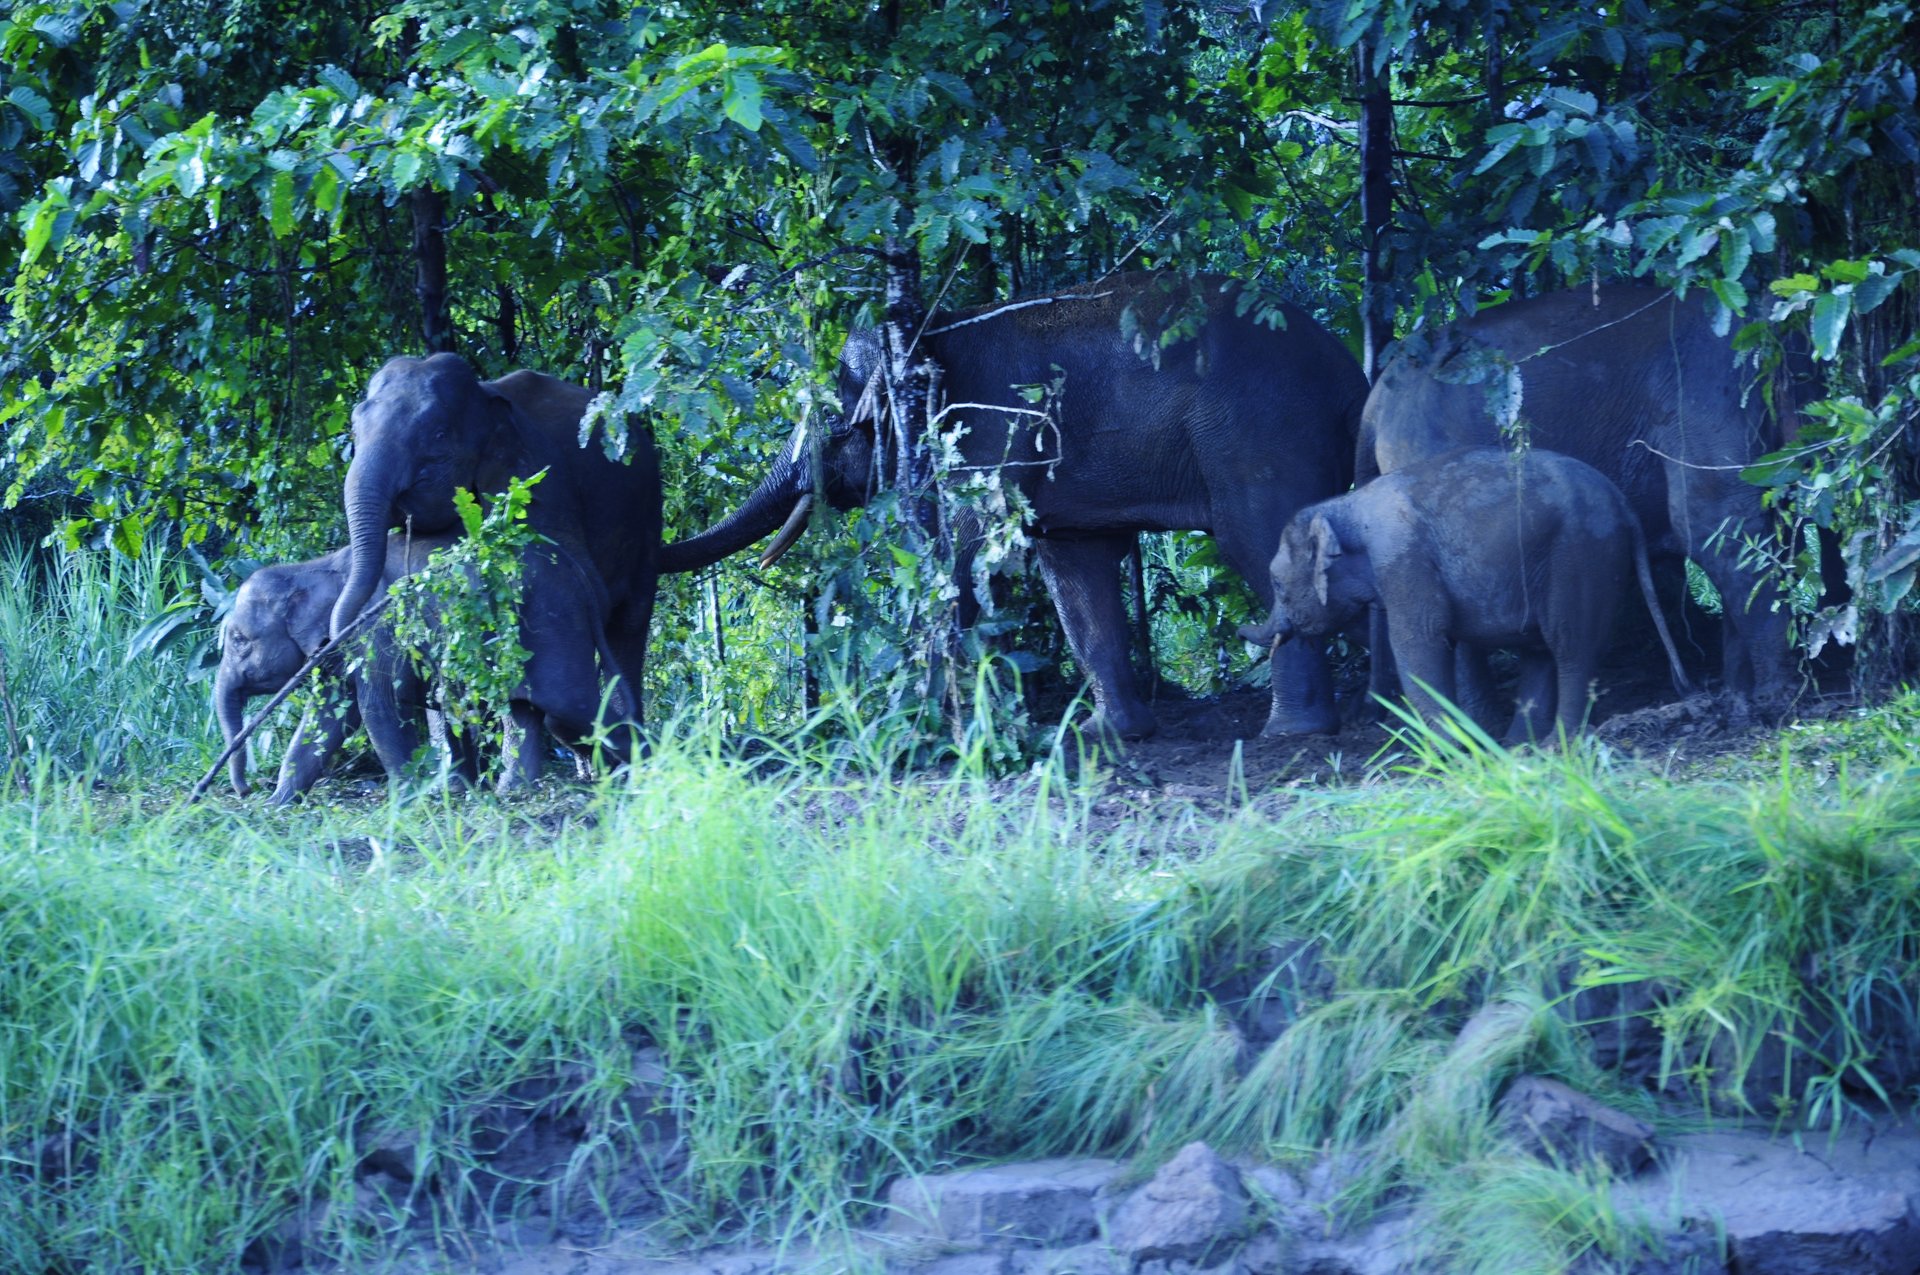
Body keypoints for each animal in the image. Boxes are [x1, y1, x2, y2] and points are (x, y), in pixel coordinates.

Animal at [328, 353, 662, 723]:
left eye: (439, 434)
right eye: (354, 429)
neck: (484, 397)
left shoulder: (537, 473)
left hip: (648, 513)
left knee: (630, 623)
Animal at [660, 273, 1371, 739]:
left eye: (834, 420)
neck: (932, 327)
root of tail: (1350, 377)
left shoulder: (985, 435)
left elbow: (962, 550)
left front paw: (927, 731)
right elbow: (1074, 573)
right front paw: (1102, 736)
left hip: (1256, 436)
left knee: (1258, 543)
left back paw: (1294, 732)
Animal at [1238, 447, 1690, 743]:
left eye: (1277, 583)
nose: (1248, 631)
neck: (1346, 507)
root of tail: (1624, 505)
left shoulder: (1403, 562)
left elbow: (1418, 644)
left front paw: (1447, 753)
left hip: (1582, 556)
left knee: (1571, 648)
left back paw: (1555, 746)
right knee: (1541, 653)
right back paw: (1519, 748)